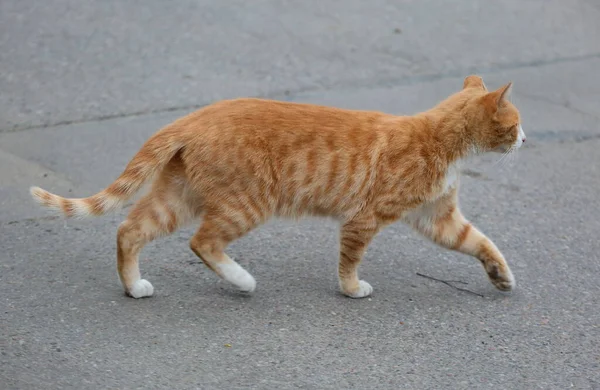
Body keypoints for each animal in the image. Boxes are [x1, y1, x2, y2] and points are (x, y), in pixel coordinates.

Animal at [29, 74, 524, 298]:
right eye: (517, 123)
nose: (525, 139)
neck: (441, 140)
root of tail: (195, 115)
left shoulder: (438, 217)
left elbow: (480, 242)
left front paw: (501, 276)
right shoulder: (364, 219)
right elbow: (350, 261)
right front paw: (351, 289)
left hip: (178, 196)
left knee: (130, 230)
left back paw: (135, 287)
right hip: (247, 203)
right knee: (202, 242)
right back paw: (242, 280)